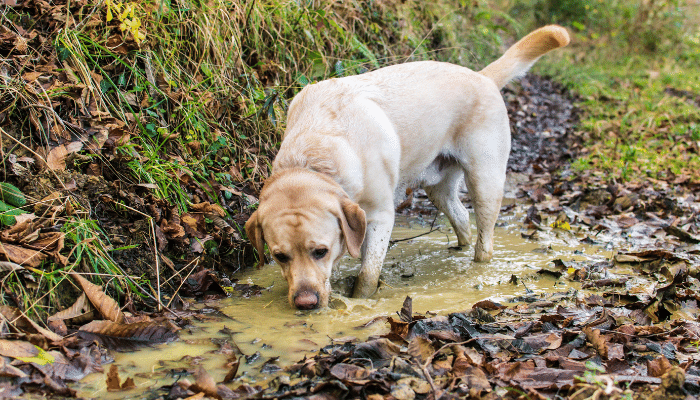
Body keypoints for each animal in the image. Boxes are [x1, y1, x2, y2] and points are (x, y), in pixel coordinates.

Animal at [245, 25, 568, 310]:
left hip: (485, 180)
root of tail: (482, 76)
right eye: (280, 256)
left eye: (320, 251)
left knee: (484, 241)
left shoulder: (379, 217)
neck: (315, 152)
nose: (305, 304)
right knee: (462, 218)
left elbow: (367, 275)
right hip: (439, 189)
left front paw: (362, 300)